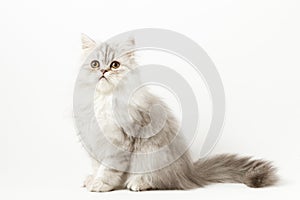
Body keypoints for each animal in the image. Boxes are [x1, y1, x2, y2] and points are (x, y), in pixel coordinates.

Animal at [78, 34, 278, 192]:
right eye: (95, 64)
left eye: (115, 65)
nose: (103, 71)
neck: (104, 100)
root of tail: (188, 171)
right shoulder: (94, 141)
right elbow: (97, 166)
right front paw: (93, 179)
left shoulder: (119, 141)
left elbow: (108, 169)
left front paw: (100, 184)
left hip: (152, 156)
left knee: (160, 181)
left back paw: (138, 183)